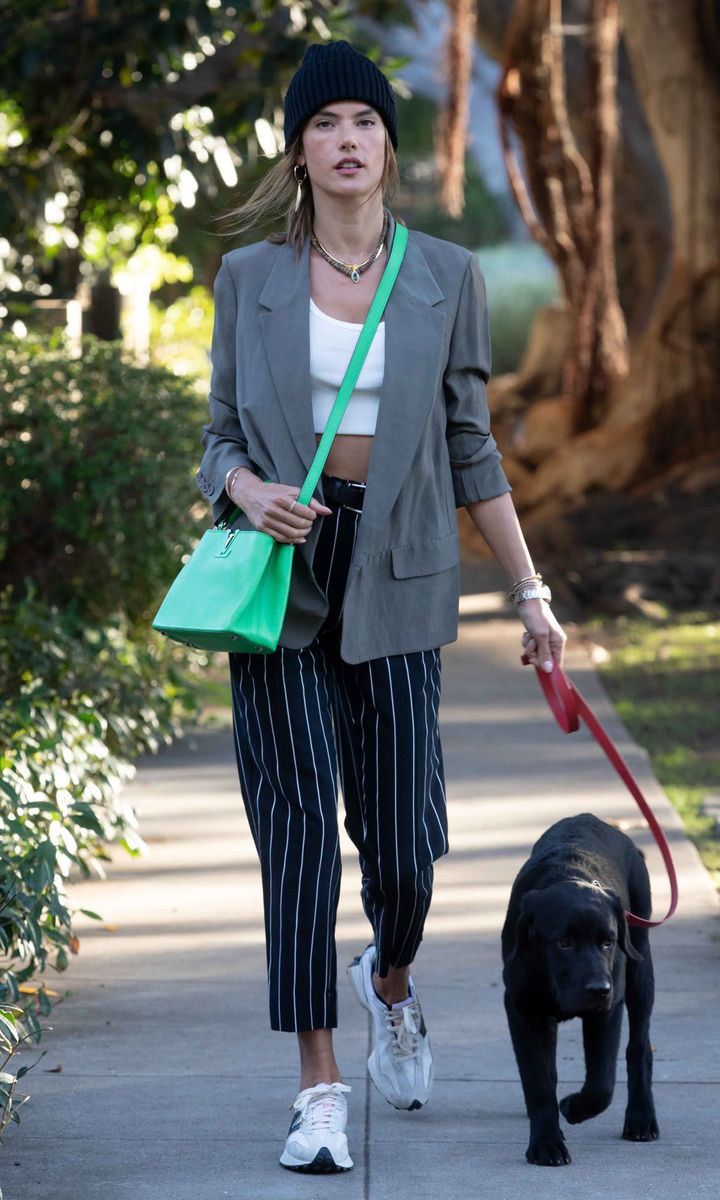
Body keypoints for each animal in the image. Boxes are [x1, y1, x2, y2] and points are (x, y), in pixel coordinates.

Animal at [501, 811, 657, 1166]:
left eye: (608, 941)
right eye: (564, 942)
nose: (599, 988)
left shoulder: (608, 1010)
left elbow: (602, 1083)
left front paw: (573, 1107)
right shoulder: (521, 1007)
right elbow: (539, 1080)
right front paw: (546, 1143)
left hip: (640, 968)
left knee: (640, 1047)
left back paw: (641, 1118)